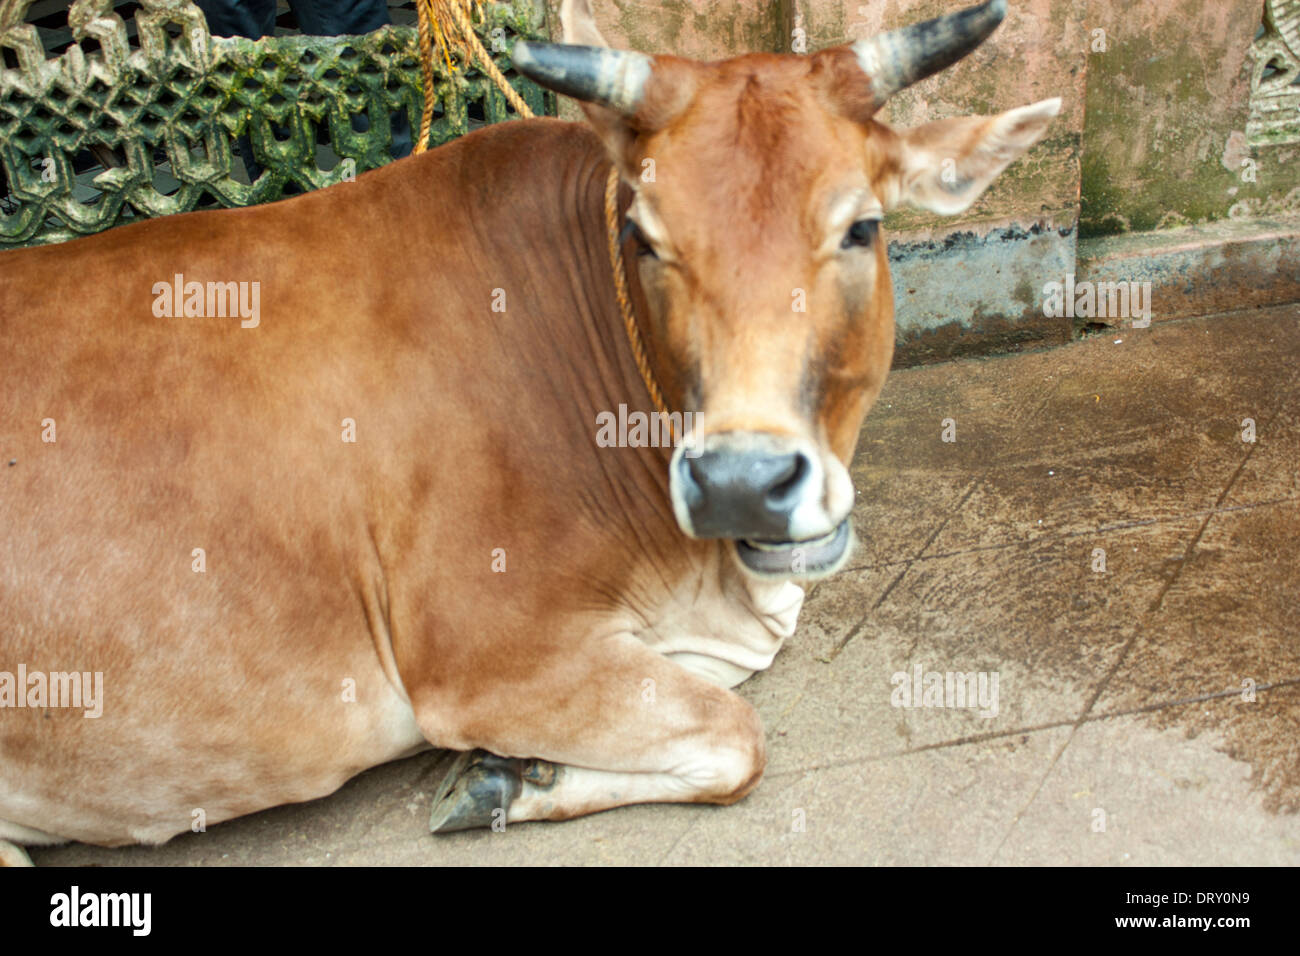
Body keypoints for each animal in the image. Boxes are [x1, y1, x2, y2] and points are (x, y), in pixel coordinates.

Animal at [0, 0, 1055, 858]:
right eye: (645, 239)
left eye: (862, 227)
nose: (742, 486)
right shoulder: (485, 661)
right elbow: (735, 739)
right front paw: (498, 778)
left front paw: (510, 775)